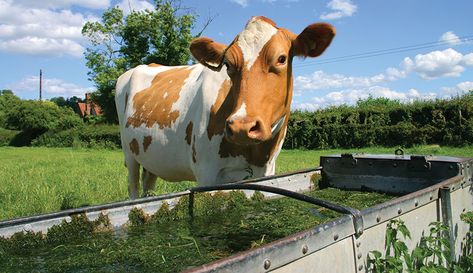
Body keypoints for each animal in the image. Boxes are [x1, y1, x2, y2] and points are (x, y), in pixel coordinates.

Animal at [115, 15, 334, 198]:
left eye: (281, 58)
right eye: (227, 65)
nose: (242, 127)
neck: (254, 154)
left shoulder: (268, 171)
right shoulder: (207, 174)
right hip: (129, 153)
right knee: (133, 189)